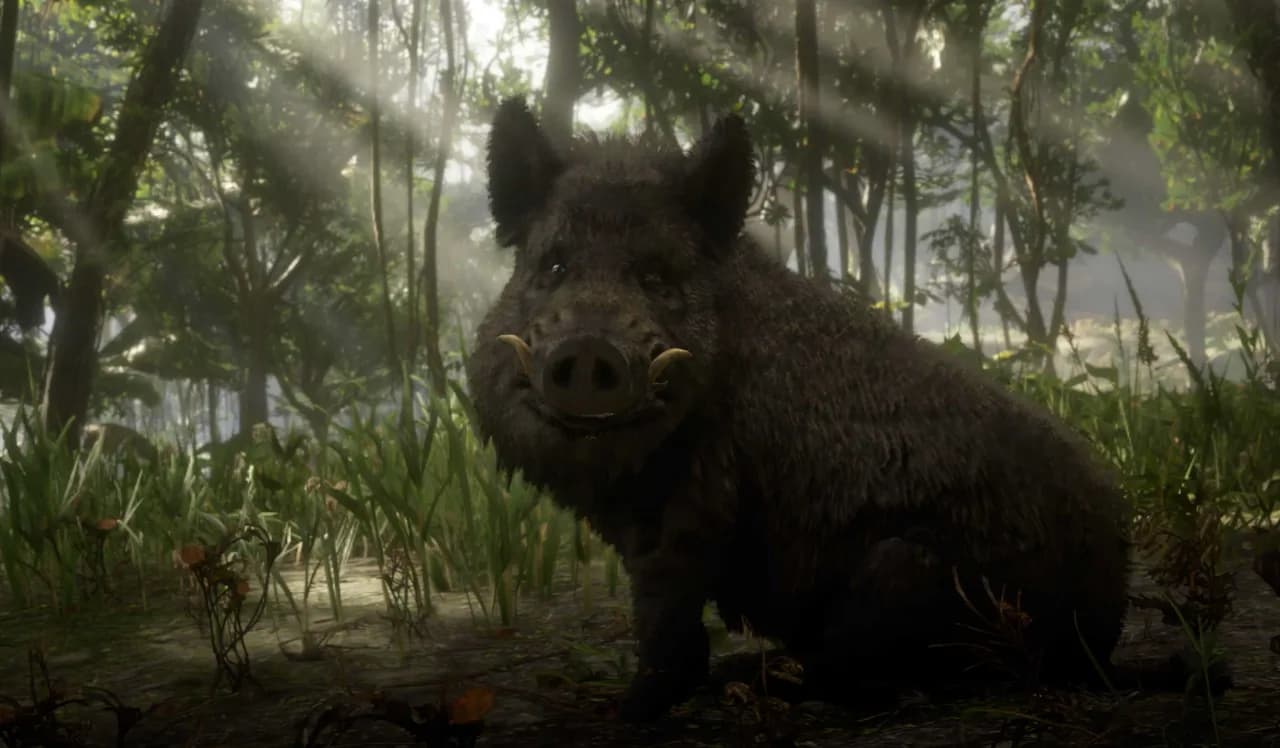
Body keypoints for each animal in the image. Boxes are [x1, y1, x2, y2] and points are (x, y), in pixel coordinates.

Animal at [465, 96, 1135, 722]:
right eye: (553, 265)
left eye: (656, 277)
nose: (587, 345)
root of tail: (1102, 640)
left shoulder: (701, 498)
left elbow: (666, 617)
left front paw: (622, 712)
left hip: (912, 577)